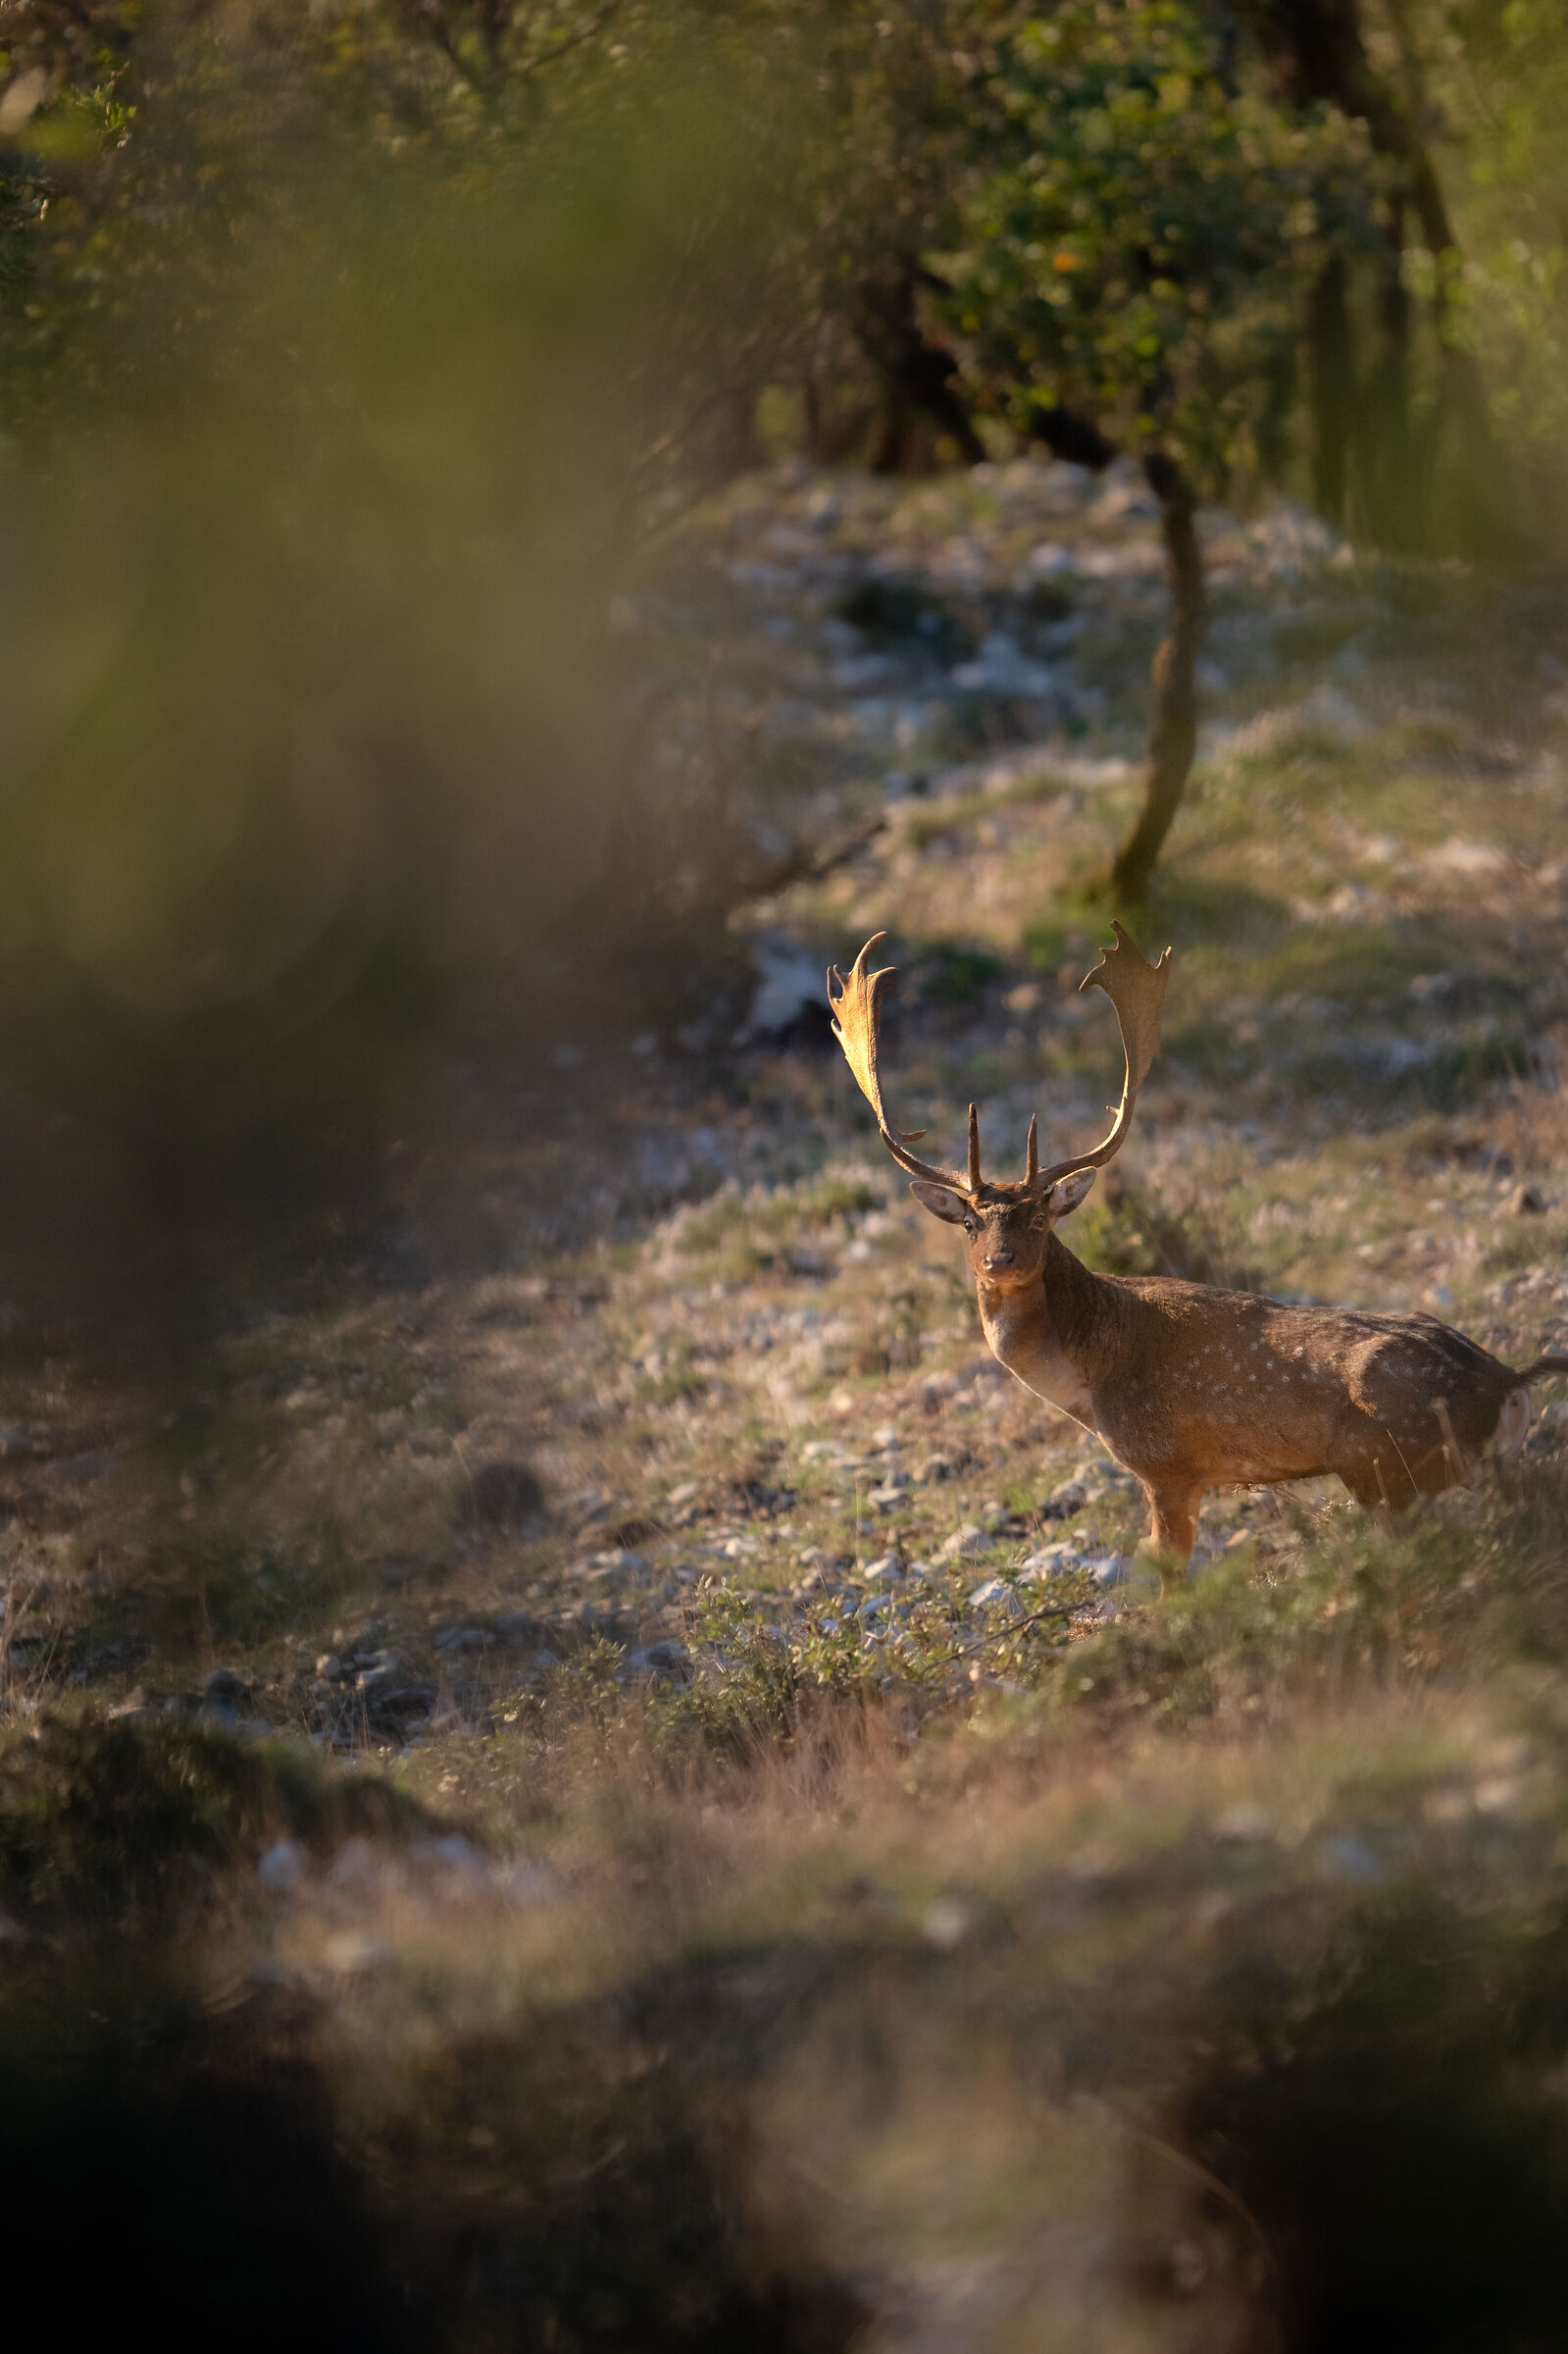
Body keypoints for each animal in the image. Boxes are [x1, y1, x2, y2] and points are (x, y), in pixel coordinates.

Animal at [827, 925, 1568, 1577]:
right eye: (969, 1224)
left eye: (1039, 1216)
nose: (999, 1262)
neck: (1089, 1381)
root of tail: (1505, 1381)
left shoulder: (1168, 1463)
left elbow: (1166, 1570)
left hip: (1393, 1469)